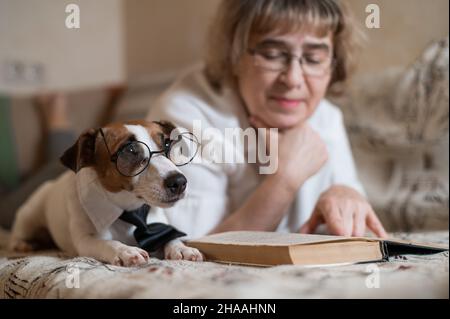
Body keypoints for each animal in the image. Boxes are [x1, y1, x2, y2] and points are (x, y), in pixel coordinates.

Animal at [8, 120, 203, 268]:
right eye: (130, 150)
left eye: (167, 144)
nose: (179, 182)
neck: (129, 210)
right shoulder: (85, 240)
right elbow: (106, 242)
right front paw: (125, 250)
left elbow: (170, 236)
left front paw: (181, 247)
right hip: (29, 217)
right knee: (19, 232)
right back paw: (21, 244)